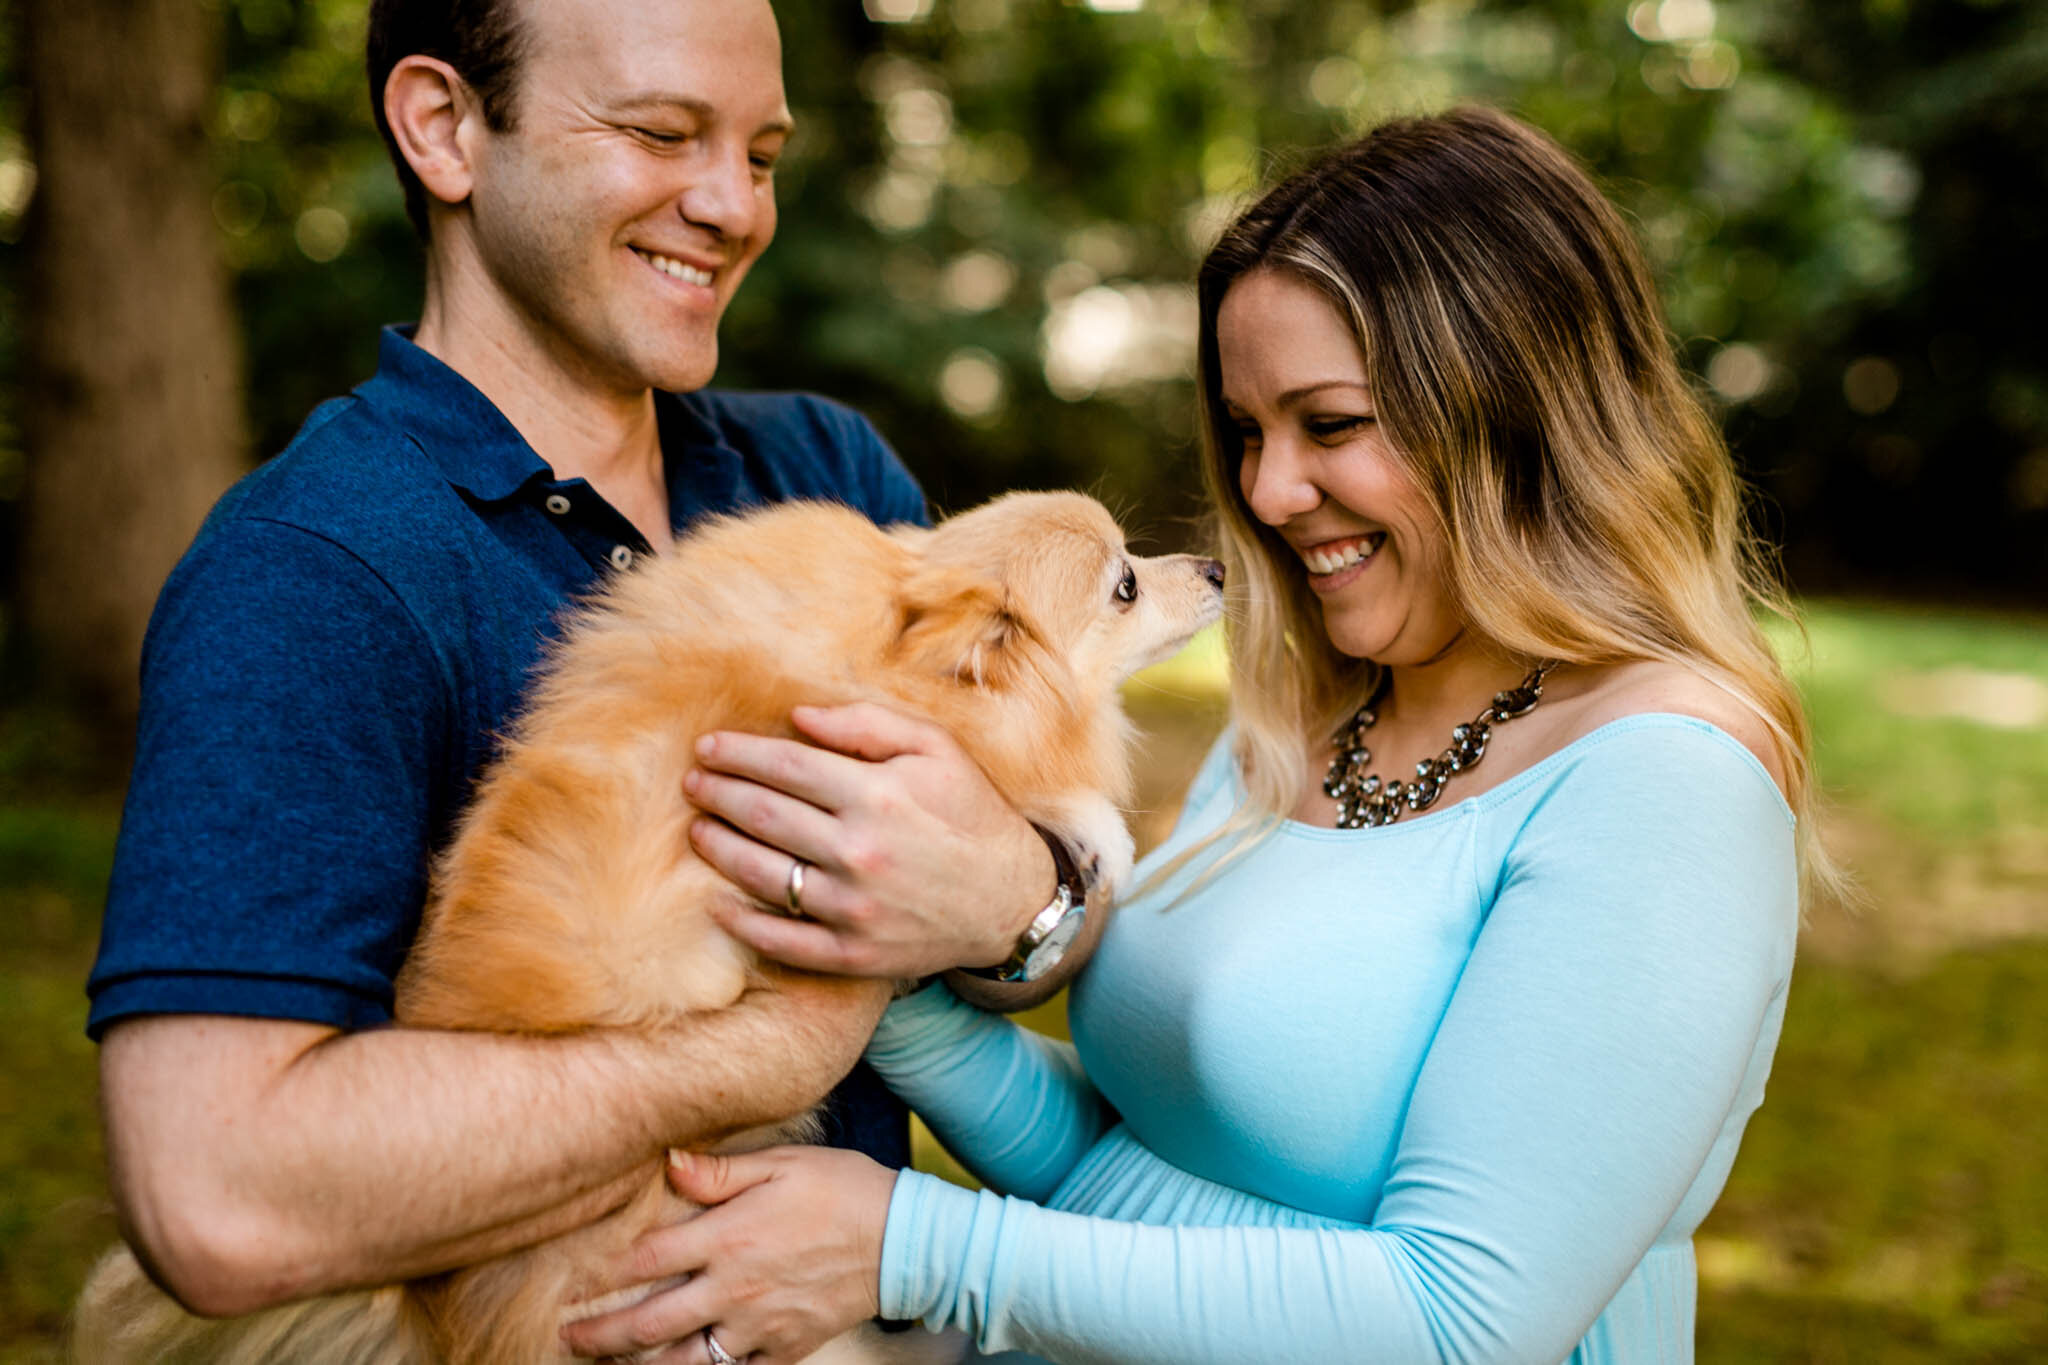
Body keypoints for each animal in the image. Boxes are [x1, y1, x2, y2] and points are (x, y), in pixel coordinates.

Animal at [75, 493, 1228, 1365]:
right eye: (1125, 583)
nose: (1216, 565)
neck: (883, 638)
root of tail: (426, 1307)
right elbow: (1040, 791)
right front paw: (1101, 834)